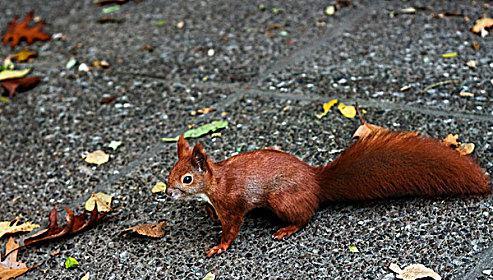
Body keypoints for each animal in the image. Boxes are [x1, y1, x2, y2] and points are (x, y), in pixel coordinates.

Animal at [165, 128, 488, 258]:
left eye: (187, 178)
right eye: (169, 173)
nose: (168, 193)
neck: (215, 184)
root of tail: (316, 182)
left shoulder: (232, 203)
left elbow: (231, 228)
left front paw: (219, 246)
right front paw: (207, 213)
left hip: (282, 199)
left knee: (305, 215)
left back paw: (287, 229)